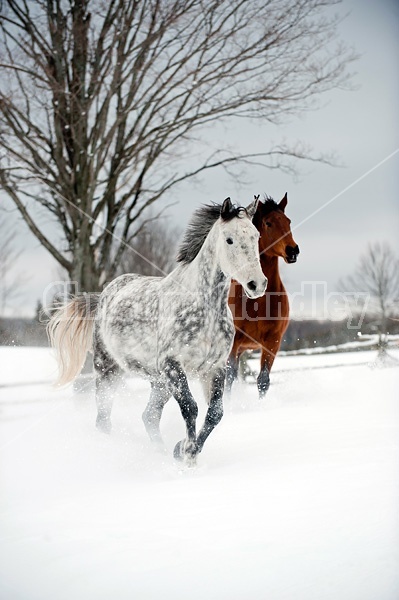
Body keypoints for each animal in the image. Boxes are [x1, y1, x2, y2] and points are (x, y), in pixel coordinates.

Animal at [228, 193, 300, 398]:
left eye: (288, 221)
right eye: (268, 223)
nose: (293, 250)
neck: (258, 302)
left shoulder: (272, 342)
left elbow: (263, 381)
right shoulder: (233, 342)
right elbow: (228, 378)